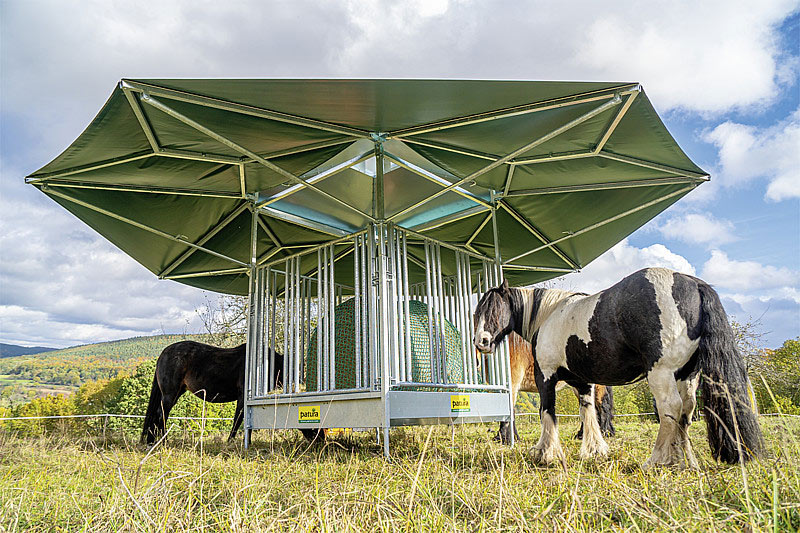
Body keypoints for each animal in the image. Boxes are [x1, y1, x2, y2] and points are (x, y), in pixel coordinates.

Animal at [472, 268, 764, 468]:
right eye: (476, 312)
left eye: (494, 308)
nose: (481, 342)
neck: (549, 315)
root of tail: (693, 283)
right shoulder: (583, 382)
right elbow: (588, 412)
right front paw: (594, 450)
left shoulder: (546, 377)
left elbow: (548, 413)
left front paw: (545, 453)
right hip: (686, 374)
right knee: (687, 412)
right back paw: (684, 460)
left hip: (661, 373)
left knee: (670, 408)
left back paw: (657, 460)